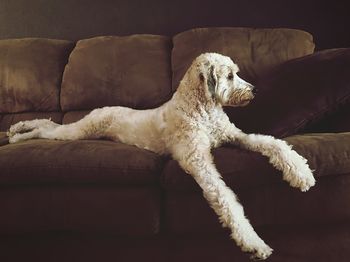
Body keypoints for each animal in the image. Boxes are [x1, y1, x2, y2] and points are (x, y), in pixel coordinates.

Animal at [7, 52, 314, 258]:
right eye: (230, 76)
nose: (255, 90)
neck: (202, 108)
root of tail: (102, 109)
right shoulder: (197, 160)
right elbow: (225, 198)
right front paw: (252, 241)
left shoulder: (235, 137)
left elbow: (272, 143)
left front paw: (300, 172)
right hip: (79, 131)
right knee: (46, 128)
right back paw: (18, 135)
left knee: (48, 124)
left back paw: (14, 131)